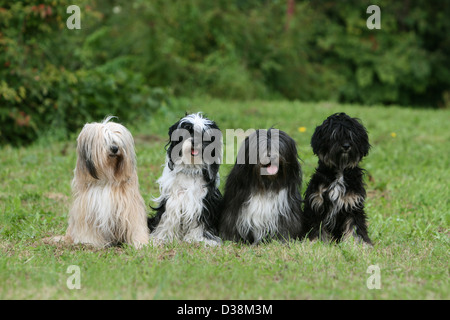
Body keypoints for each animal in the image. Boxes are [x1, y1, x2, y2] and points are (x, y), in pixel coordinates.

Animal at [149, 112, 222, 245]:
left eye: (204, 135)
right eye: (187, 131)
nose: (195, 142)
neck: (191, 170)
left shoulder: (203, 201)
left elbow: (200, 223)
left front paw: (198, 239)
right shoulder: (173, 199)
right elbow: (167, 219)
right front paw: (161, 238)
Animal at [302, 112, 372, 245]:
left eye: (352, 135)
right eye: (334, 136)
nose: (346, 146)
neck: (339, 172)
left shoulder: (352, 205)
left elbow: (354, 228)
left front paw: (357, 245)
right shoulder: (317, 205)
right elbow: (316, 228)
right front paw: (315, 243)